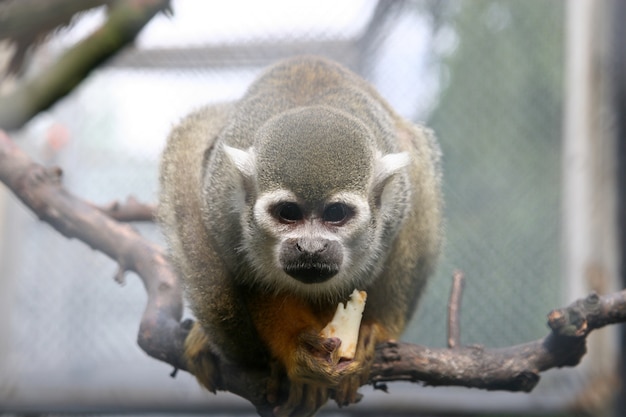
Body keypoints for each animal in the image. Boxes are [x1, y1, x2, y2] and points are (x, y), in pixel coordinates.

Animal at [157, 56, 438, 416]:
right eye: (288, 213)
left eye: (336, 214)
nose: (311, 247)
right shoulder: (221, 212)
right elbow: (251, 284)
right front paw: (296, 349)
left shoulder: (393, 213)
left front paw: (362, 335)